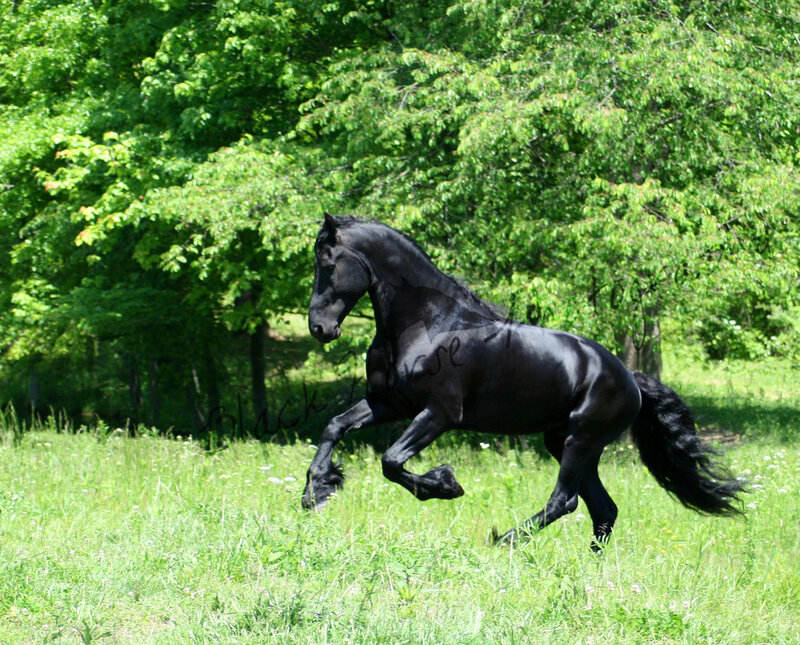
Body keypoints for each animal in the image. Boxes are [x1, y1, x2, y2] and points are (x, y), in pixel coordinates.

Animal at [302, 213, 745, 548]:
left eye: (328, 265)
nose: (320, 328)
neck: (429, 323)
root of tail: (631, 380)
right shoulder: (389, 403)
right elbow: (334, 427)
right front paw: (317, 492)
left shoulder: (439, 414)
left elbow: (391, 461)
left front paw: (445, 485)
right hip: (566, 441)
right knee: (603, 509)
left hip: (580, 440)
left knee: (565, 501)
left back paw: (505, 540)